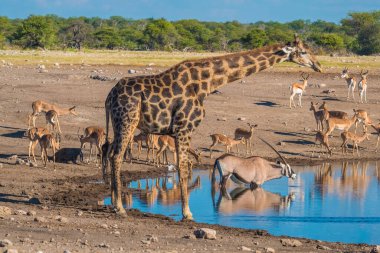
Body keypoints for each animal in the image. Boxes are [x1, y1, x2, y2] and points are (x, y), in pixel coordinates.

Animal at [103, 34, 320, 220]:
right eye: (303, 51)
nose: (318, 66)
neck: (205, 84)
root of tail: (110, 96)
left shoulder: (180, 131)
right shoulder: (184, 128)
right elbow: (183, 167)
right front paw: (187, 213)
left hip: (118, 123)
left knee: (110, 152)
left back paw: (113, 203)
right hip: (127, 121)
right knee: (117, 156)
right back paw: (120, 208)